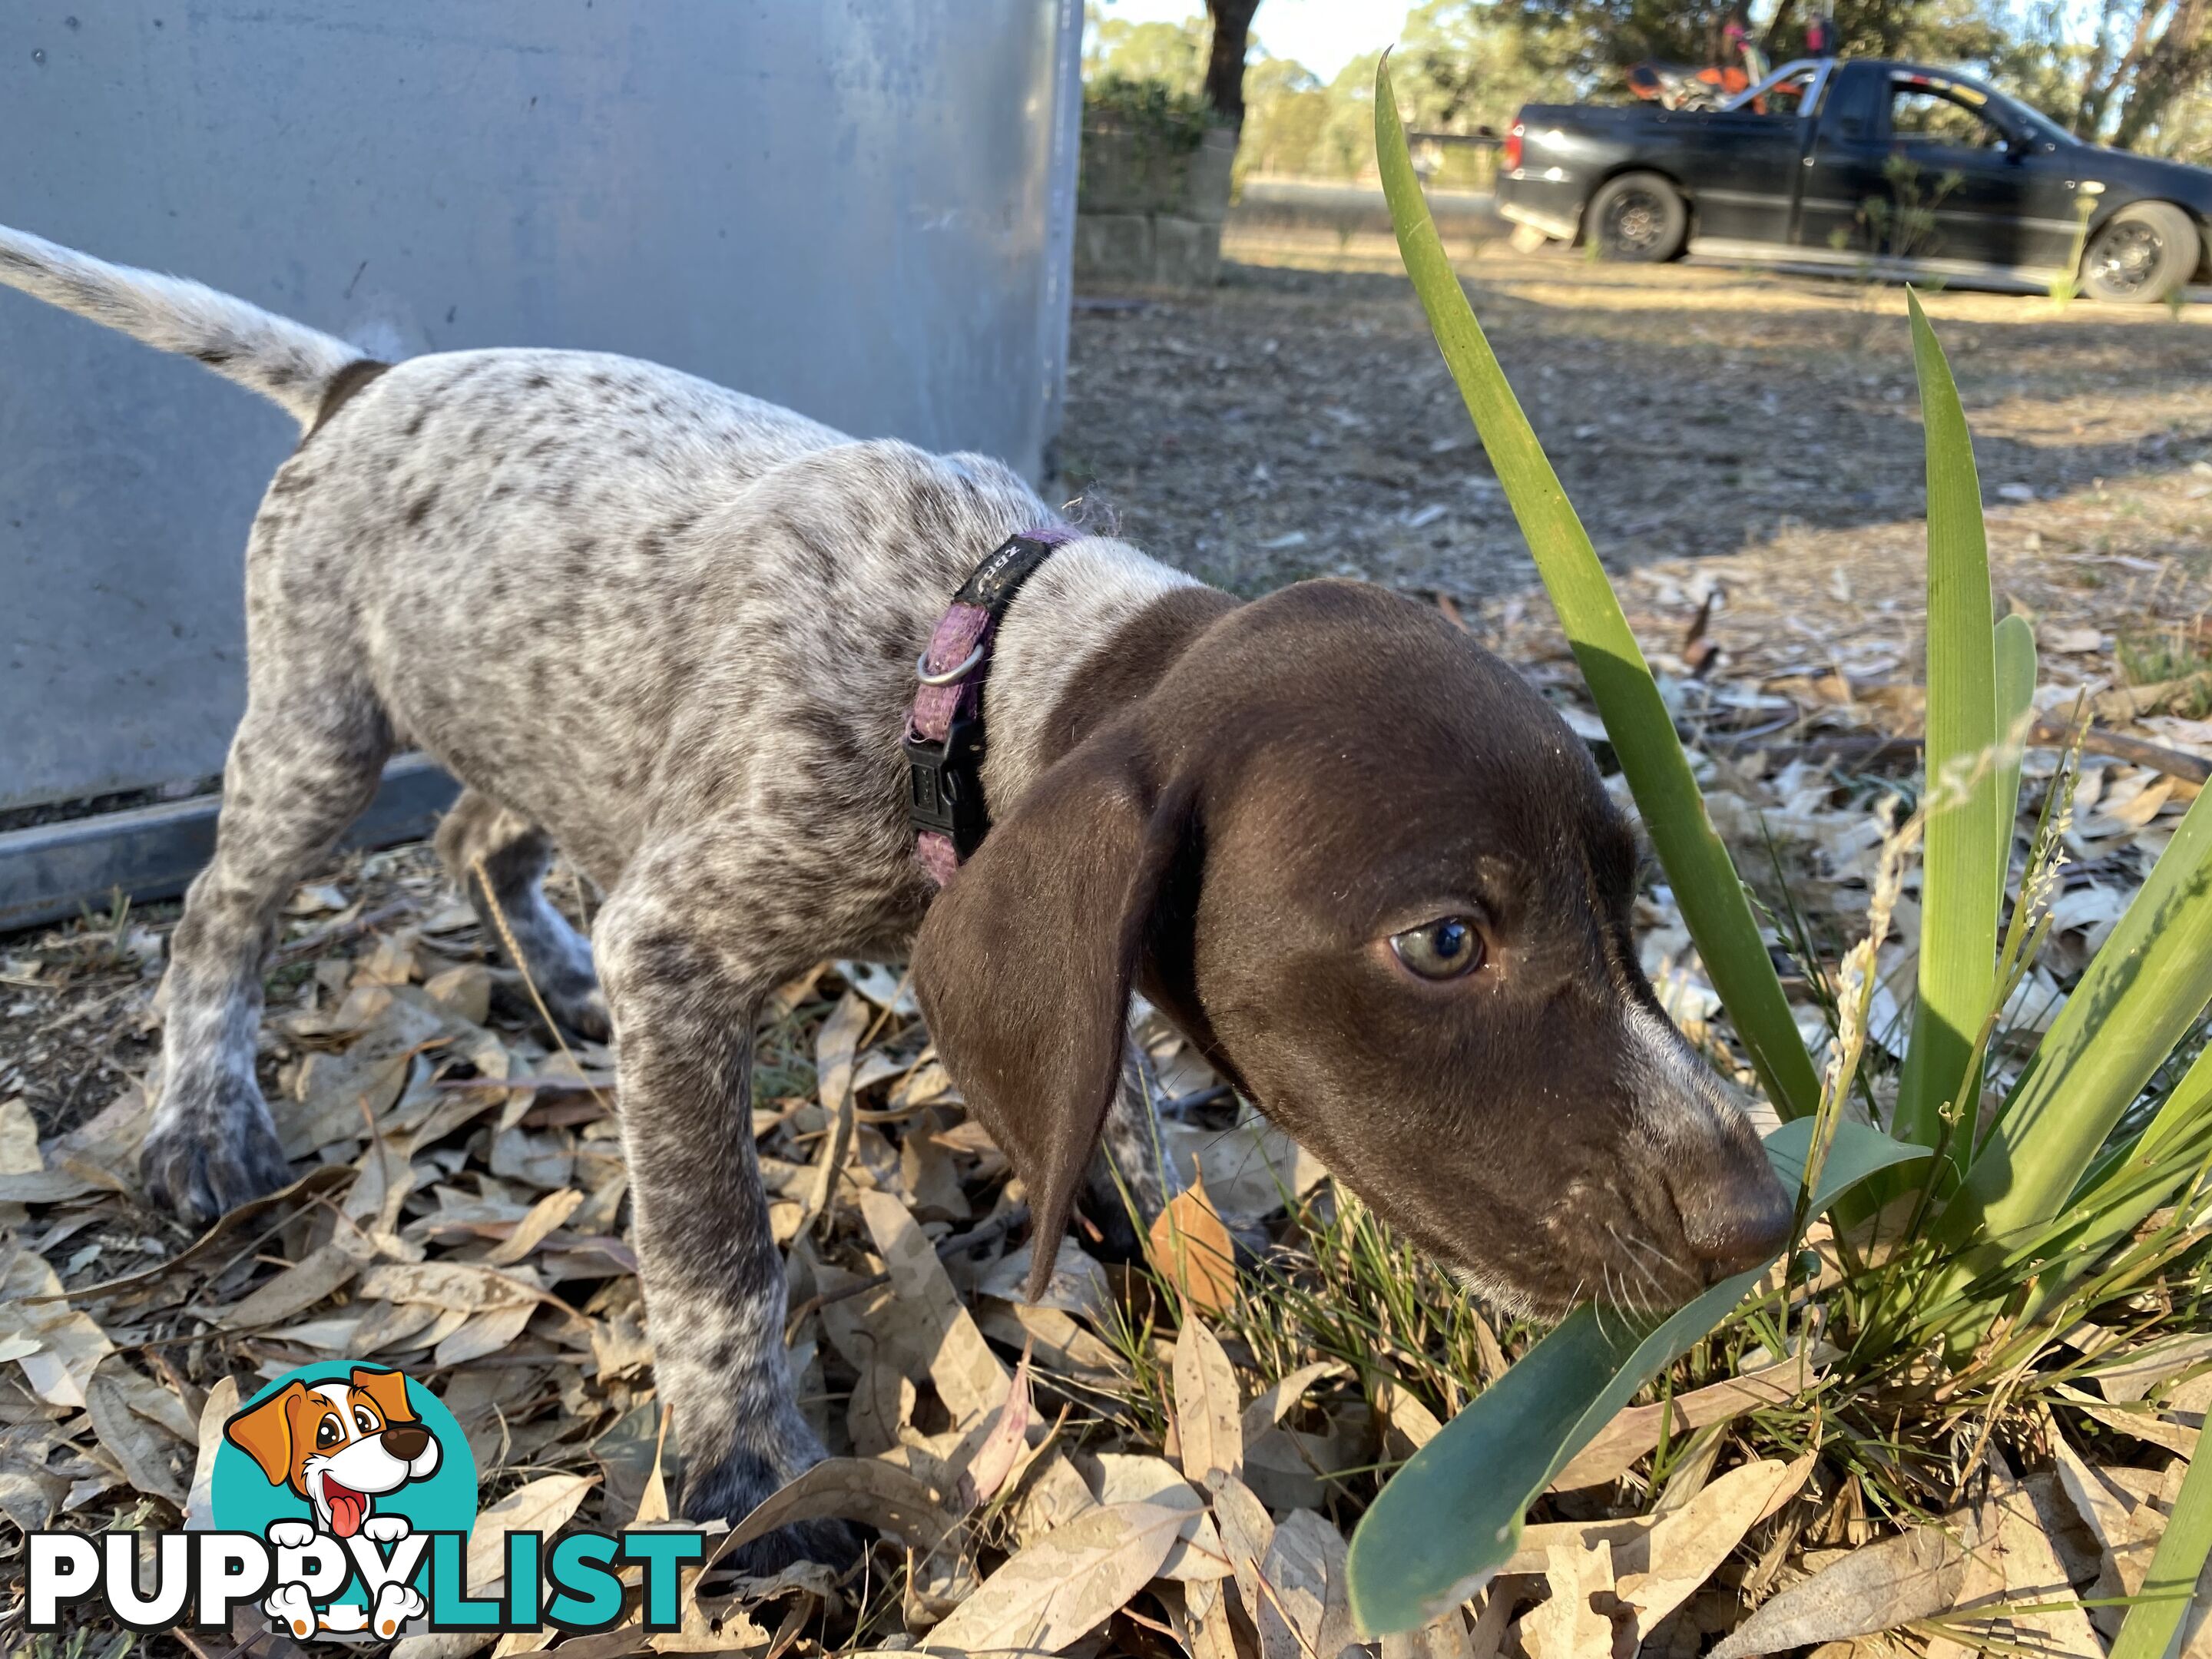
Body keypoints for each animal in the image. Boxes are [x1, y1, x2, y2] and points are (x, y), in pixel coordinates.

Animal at [4, 224, 1796, 1575]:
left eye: (1632, 904)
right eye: (1445, 943)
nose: (1765, 1219)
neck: (965, 653)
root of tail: (367, 379)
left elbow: (1111, 1114)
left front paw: (1193, 1272)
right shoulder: (692, 941)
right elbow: (717, 1248)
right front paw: (747, 1473)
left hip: (538, 715)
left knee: (480, 844)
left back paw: (556, 984)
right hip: (321, 725)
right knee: (222, 915)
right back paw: (205, 1118)